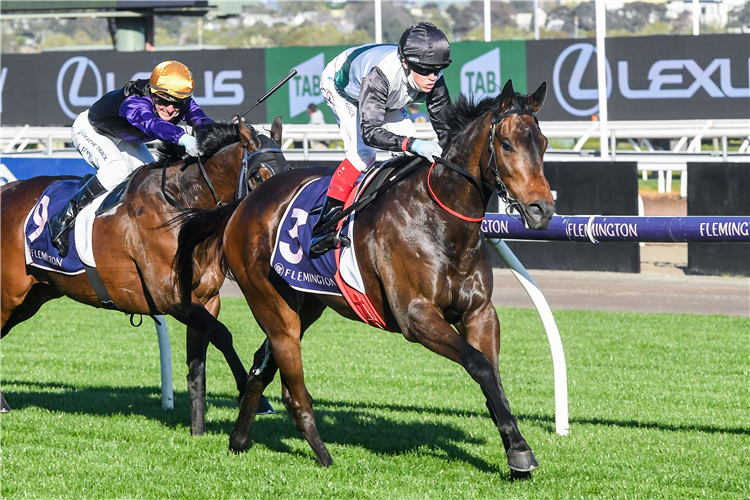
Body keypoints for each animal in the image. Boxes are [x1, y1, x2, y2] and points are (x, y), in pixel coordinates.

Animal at [0, 117, 288, 434]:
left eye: (287, 170)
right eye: (258, 176)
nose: (275, 212)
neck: (181, 205)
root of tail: (6, 191)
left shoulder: (207, 299)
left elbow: (198, 365)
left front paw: (197, 430)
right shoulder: (171, 298)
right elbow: (223, 335)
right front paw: (256, 398)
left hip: (32, 297)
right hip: (8, 294)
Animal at [175, 81, 552, 472]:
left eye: (543, 143)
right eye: (506, 145)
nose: (542, 209)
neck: (441, 221)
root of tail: (243, 205)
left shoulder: (479, 312)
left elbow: (491, 373)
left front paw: (515, 445)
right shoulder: (416, 317)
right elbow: (478, 364)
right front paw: (520, 450)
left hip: (305, 304)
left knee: (260, 371)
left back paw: (238, 441)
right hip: (273, 307)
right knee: (293, 387)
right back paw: (323, 456)